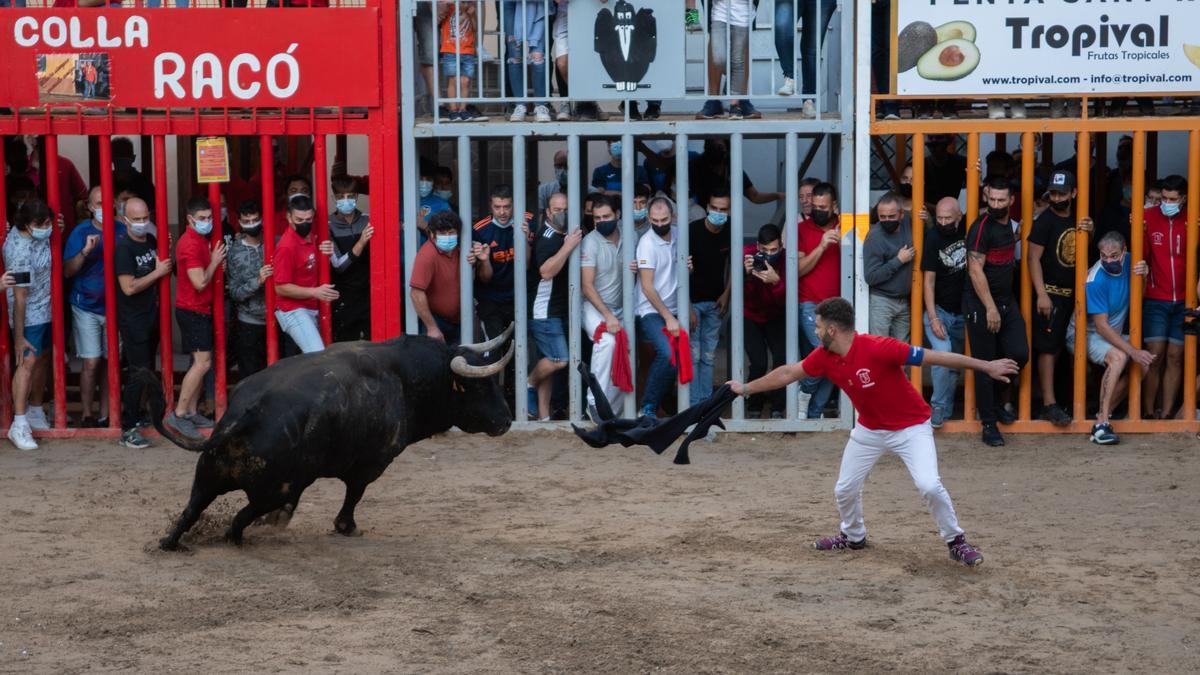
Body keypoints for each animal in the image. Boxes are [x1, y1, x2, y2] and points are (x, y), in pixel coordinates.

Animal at [141, 324, 516, 550]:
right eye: (481, 386)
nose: (506, 420)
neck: (406, 378)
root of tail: (241, 416)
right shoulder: (370, 465)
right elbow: (353, 495)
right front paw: (347, 527)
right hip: (272, 489)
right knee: (238, 520)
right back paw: (237, 536)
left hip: (207, 477)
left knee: (191, 511)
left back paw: (171, 543)